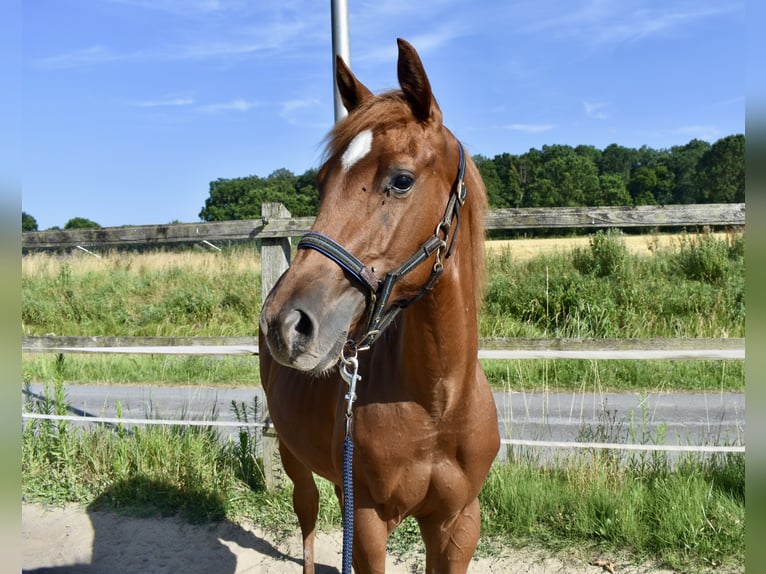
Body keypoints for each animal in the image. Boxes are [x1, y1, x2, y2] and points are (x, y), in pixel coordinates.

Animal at [259, 38, 500, 573]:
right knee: (306, 514)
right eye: (323, 181)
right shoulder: (369, 521)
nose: (285, 323)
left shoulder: (458, 525)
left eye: (402, 180)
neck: (437, 405)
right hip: (291, 454)